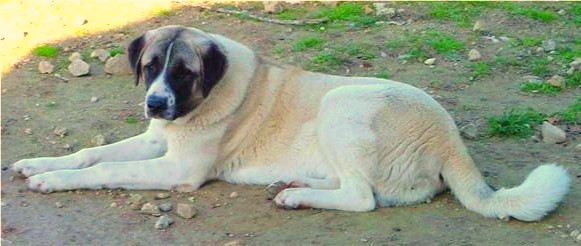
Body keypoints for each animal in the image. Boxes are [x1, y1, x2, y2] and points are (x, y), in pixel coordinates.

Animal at [11, 25, 568, 221]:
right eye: (150, 67)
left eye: (184, 72)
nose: (155, 103)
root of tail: (451, 138)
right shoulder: (155, 143)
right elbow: (92, 153)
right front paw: (37, 162)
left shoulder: (177, 169)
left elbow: (101, 170)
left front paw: (51, 180)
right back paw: (294, 185)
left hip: (342, 103)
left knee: (363, 198)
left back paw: (297, 197)